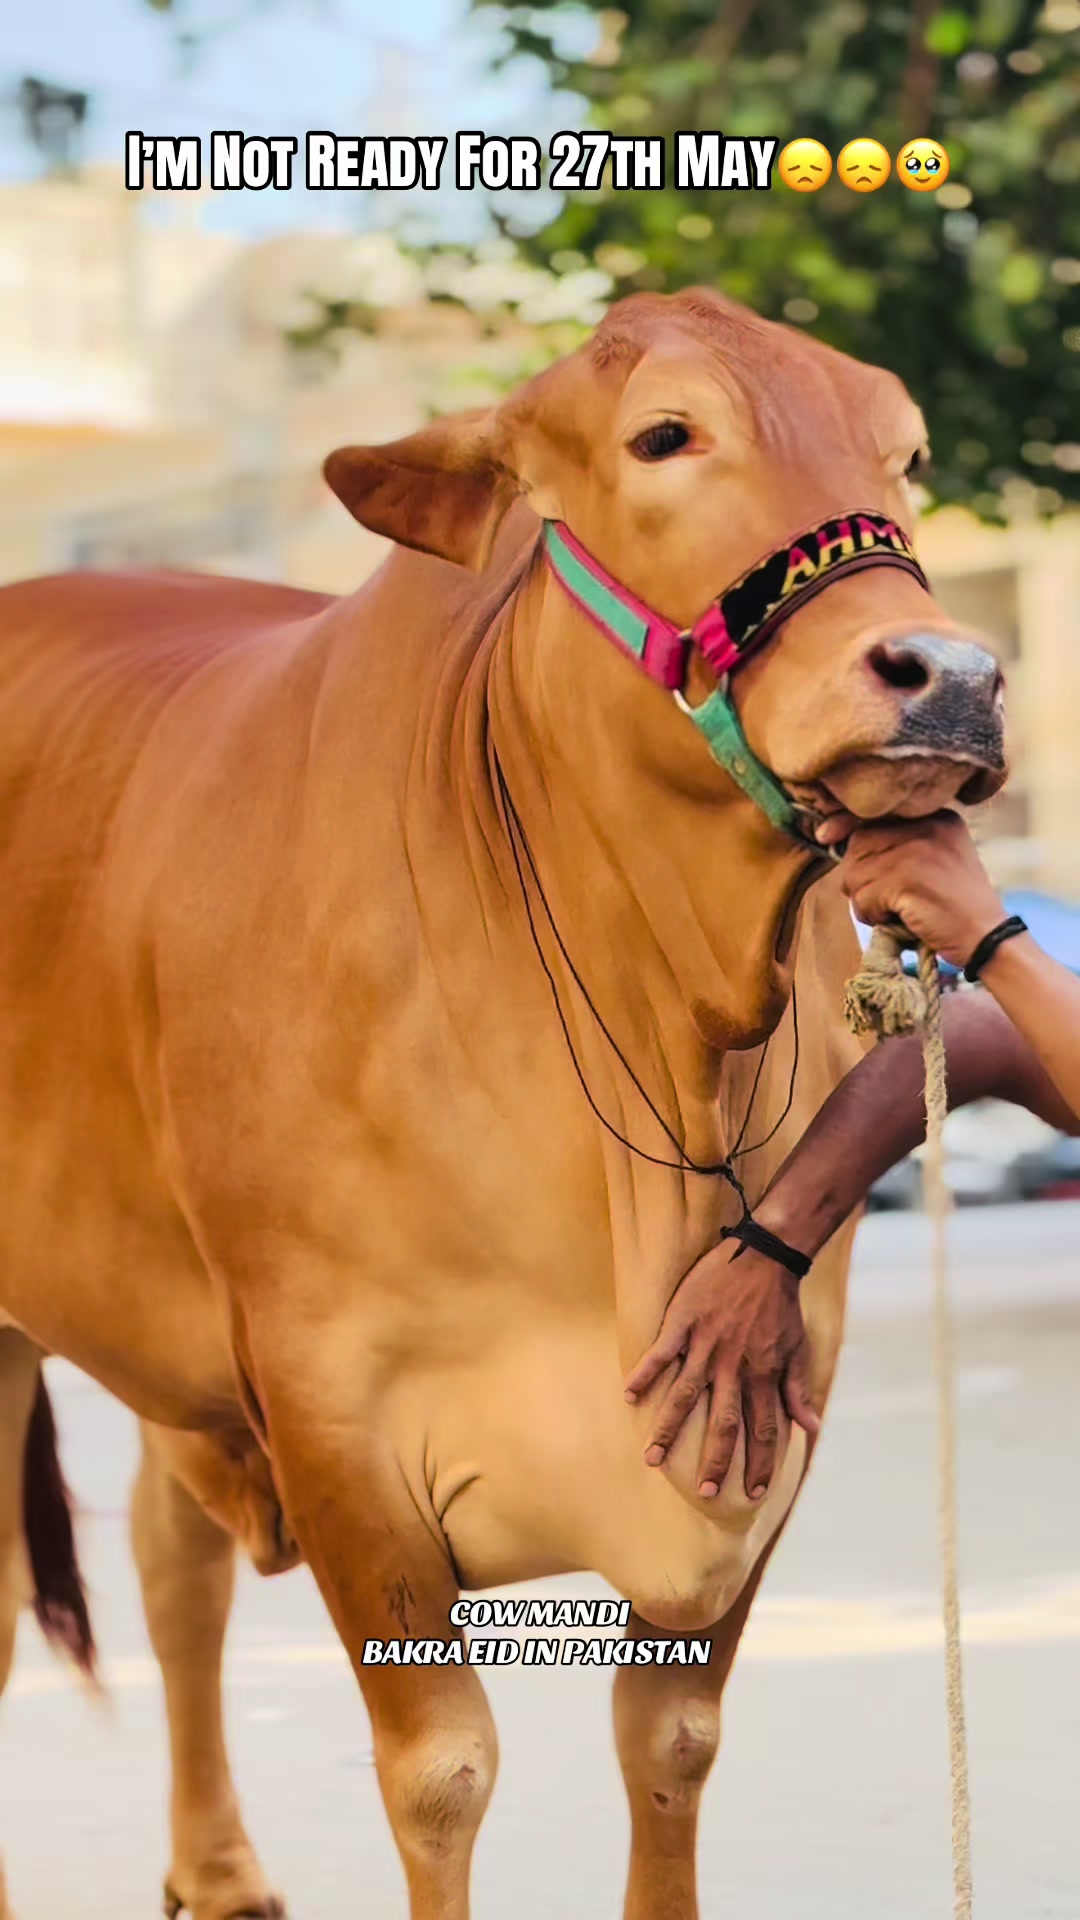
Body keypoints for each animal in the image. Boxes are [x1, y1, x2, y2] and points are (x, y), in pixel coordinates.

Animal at [0, 289, 1005, 1920]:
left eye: (905, 451)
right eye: (665, 434)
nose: (953, 678)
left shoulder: (775, 1397)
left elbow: (670, 1741)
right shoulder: (332, 1408)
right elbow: (441, 1773)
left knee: (172, 1557)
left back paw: (218, 1868)